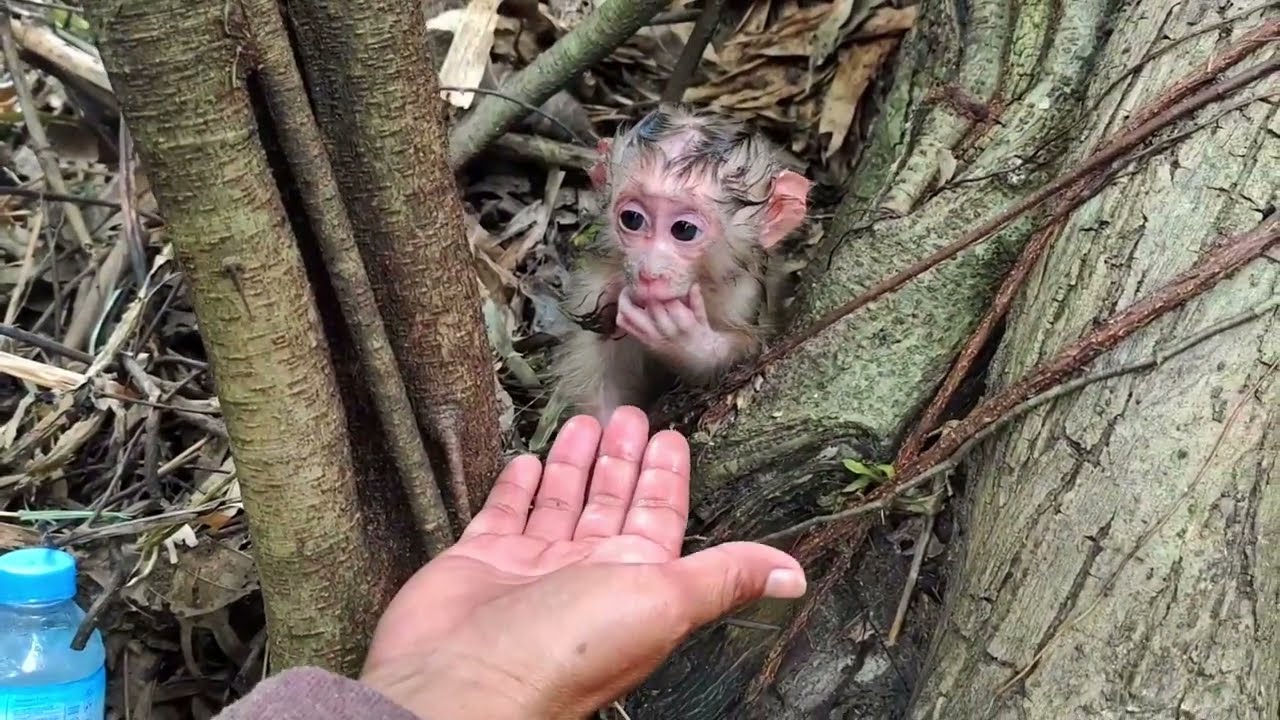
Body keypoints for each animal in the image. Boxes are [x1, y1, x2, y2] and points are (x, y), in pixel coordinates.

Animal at [549, 104, 812, 426]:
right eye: (632, 219)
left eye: (684, 229)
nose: (649, 273)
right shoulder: (601, 284)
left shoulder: (744, 296)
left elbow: (747, 352)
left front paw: (686, 339)